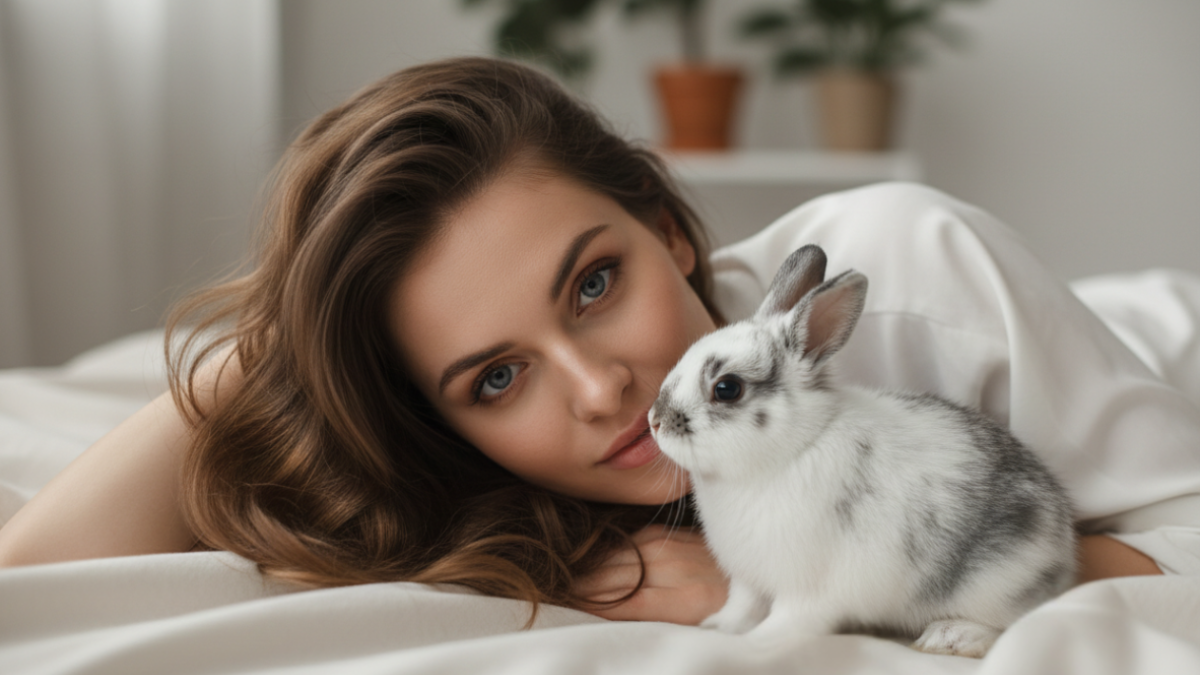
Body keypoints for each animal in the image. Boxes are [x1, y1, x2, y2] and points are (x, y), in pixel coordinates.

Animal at [647, 244, 1077, 658]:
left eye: (727, 388)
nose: (654, 420)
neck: (794, 448)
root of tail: (1064, 549)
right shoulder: (749, 578)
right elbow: (742, 607)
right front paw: (717, 629)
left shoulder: (807, 589)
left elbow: (786, 622)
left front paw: (751, 646)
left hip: (995, 585)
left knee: (1018, 622)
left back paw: (950, 637)